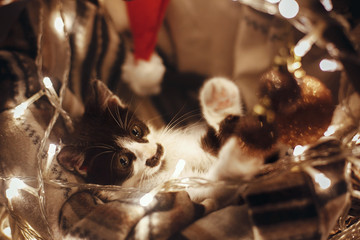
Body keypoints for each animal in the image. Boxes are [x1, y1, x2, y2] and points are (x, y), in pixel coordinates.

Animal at [57, 78, 264, 200]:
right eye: (123, 161)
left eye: (135, 131)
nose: (154, 153)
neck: (167, 164)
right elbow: (211, 185)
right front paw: (236, 161)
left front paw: (222, 103)